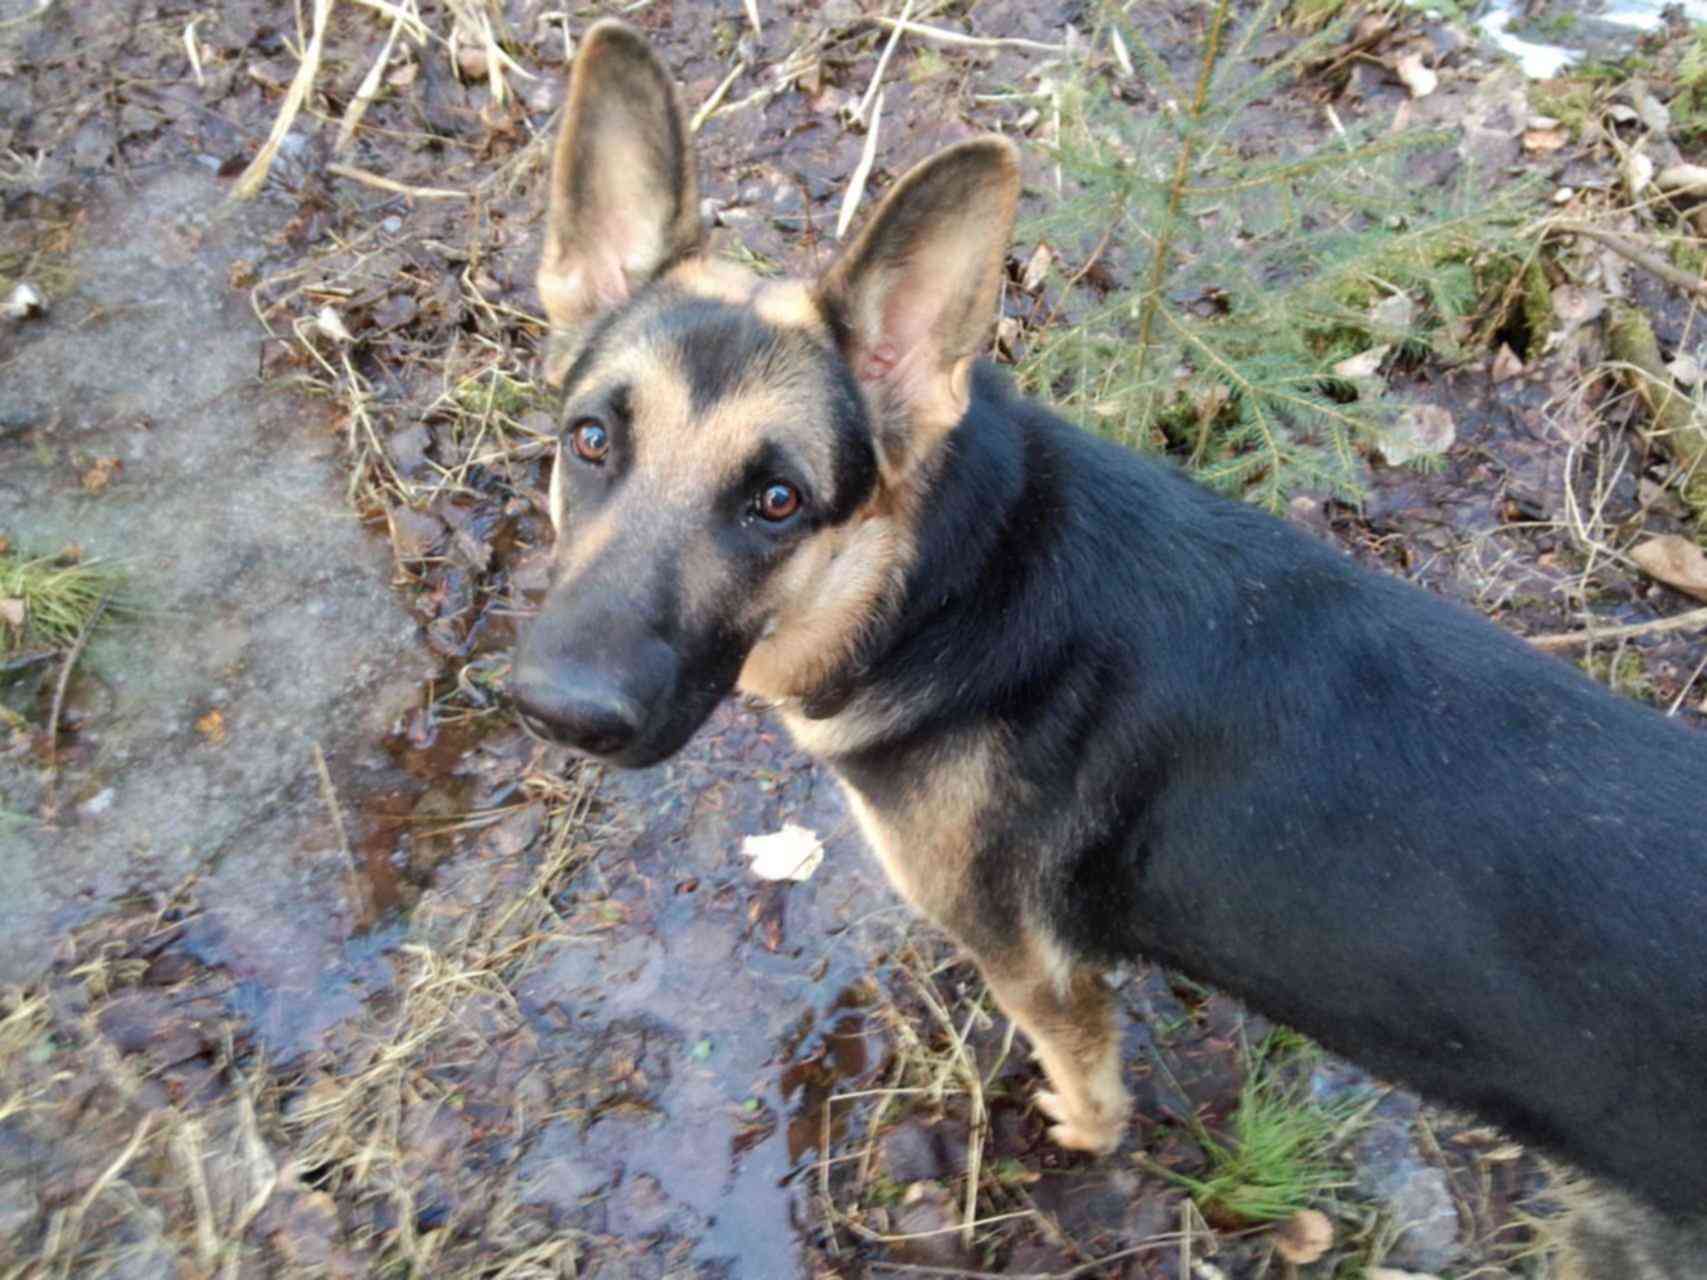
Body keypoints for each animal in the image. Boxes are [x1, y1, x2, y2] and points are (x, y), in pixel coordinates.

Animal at [508, 22, 1707, 1280]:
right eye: (590, 441)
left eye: (777, 501)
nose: (559, 710)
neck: (952, 579)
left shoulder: (1029, 960)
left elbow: (1083, 1065)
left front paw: (1082, 1127)